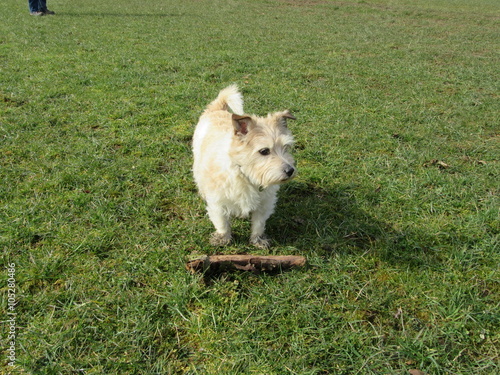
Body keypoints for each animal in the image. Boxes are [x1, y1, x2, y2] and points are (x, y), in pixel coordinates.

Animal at [192, 85, 296, 250]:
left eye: (286, 148)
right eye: (264, 151)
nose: (290, 170)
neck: (245, 175)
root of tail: (218, 108)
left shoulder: (264, 204)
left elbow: (258, 224)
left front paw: (257, 240)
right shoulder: (218, 203)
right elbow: (222, 223)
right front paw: (223, 238)